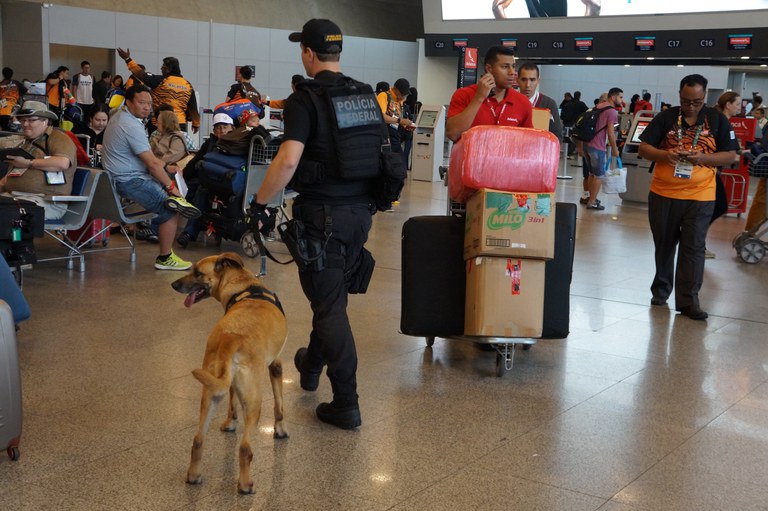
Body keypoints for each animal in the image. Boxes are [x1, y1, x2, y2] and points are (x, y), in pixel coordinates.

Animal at [172, 254, 290, 494]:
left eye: (198, 272)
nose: (174, 285)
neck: (244, 287)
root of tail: (230, 338)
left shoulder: (229, 383)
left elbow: (232, 400)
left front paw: (230, 423)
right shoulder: (276, 365)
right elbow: (279, 405)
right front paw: (280, 430)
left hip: (210, 393)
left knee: (198, 439)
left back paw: (194, 475)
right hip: (254, 401)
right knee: (245, 447)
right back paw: (245, 485)